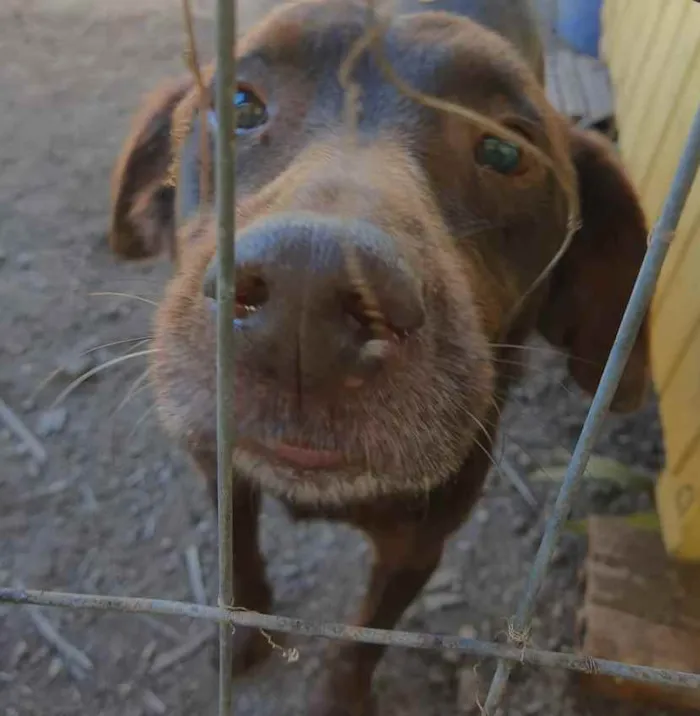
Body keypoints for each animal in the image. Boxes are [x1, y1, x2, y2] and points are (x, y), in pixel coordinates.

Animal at [108, 2, 652, 712]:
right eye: (240, 103)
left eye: (505, 151)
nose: (304, 298)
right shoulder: (221, 472)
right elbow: (239, 560)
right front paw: (242, 635)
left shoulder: (417, 550)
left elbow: (363, 640)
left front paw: (341, 696)